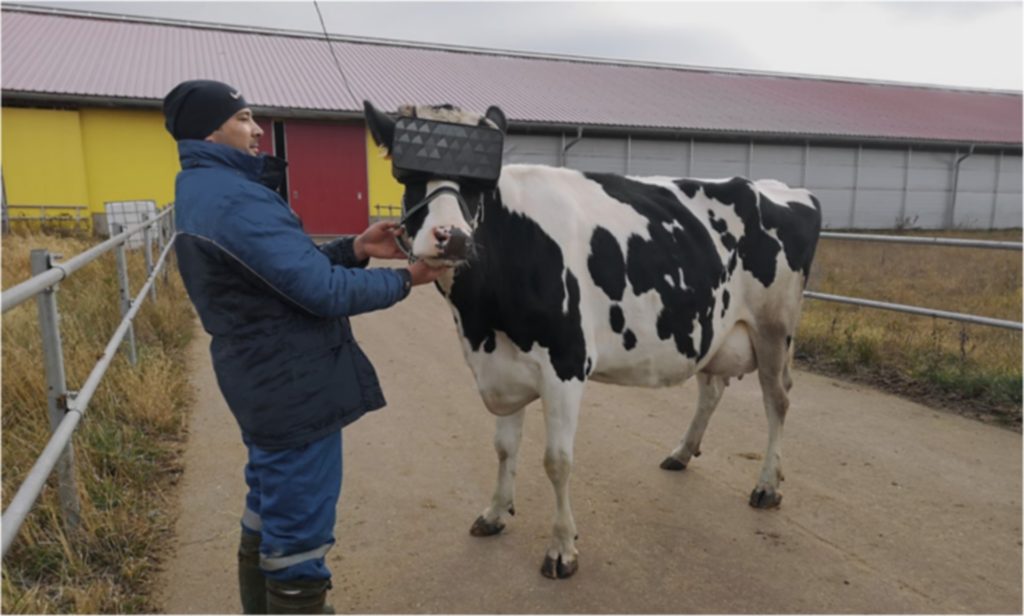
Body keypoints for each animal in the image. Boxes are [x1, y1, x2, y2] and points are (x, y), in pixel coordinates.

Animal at [364, 99, 819, 577]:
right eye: (407, 176)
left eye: (478, 185)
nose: (451, 237)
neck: (481, 321)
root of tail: (783, 189)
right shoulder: (501, 366)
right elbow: (505, 448)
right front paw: (494, 513)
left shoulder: (565, 363)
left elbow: (557, 461)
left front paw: (562, 547)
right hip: (712, 327)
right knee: (712, 389)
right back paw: (681, 452)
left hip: (774, 328)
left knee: (778, 399)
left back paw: (767, 486)